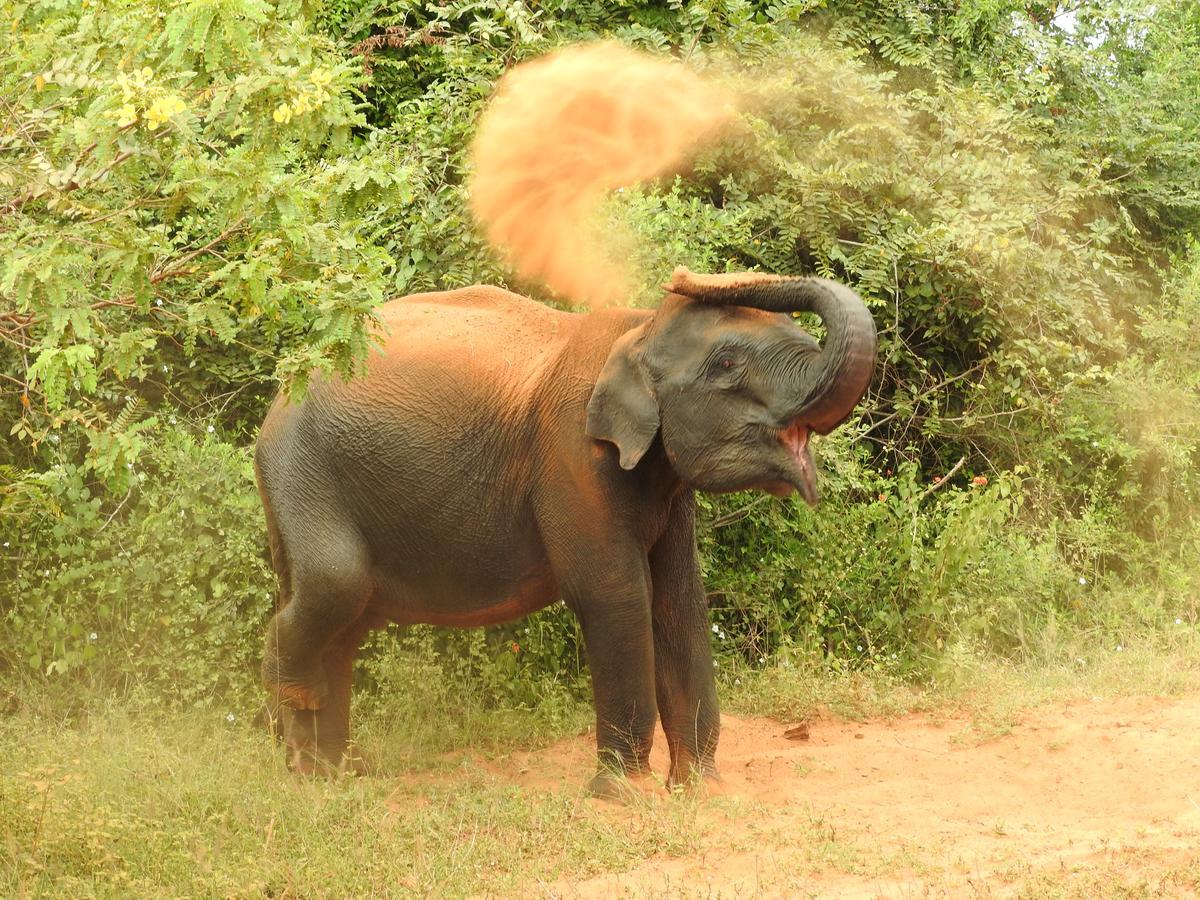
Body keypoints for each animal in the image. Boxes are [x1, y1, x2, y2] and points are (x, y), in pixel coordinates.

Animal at [255, 266, 873, 796]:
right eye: (724, 364)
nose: (681, 277)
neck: (636, 330)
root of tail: (281, 393)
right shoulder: (570, 456)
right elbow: (614, 594)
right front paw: (624, 796)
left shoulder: (665, 484)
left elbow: (679, 601)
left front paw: (701, 790)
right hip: (302, 471)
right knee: (336, 586)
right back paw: (301, 725)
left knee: (346, 621)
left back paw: (330, 772)